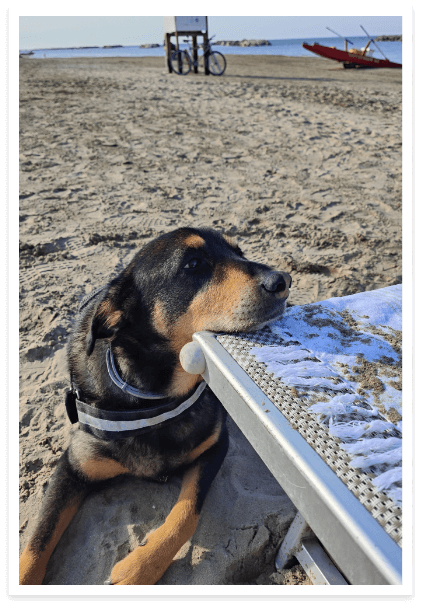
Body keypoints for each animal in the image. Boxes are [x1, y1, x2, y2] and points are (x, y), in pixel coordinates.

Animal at [19, 227, 290, 584]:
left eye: (240, 252)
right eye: (193, 264)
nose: (283, 280)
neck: (156, 399)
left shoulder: (215, 446)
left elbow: (186, 513)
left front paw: (139, 568)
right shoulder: (72, 466)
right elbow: (37, 543)